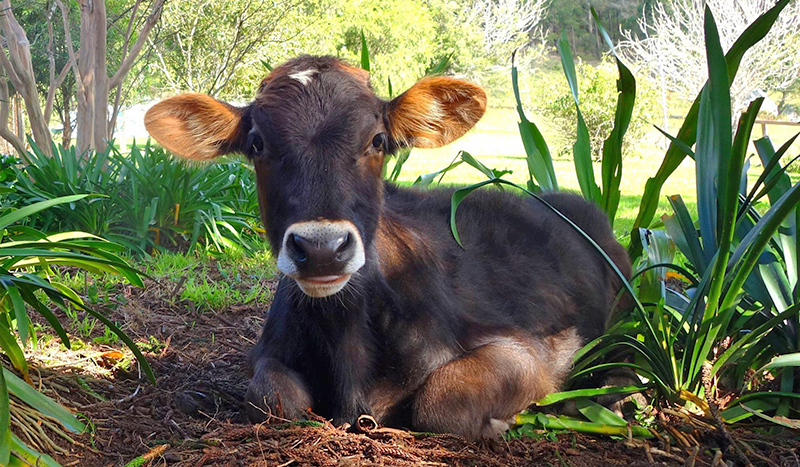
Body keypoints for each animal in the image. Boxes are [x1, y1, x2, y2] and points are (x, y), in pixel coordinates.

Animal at [142, 56, 632, 440]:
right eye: (258, 143)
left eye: (377, 140)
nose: (321, 248)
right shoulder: (265, 353)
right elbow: (272, 396)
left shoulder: (534, 351)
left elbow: (442, 401)